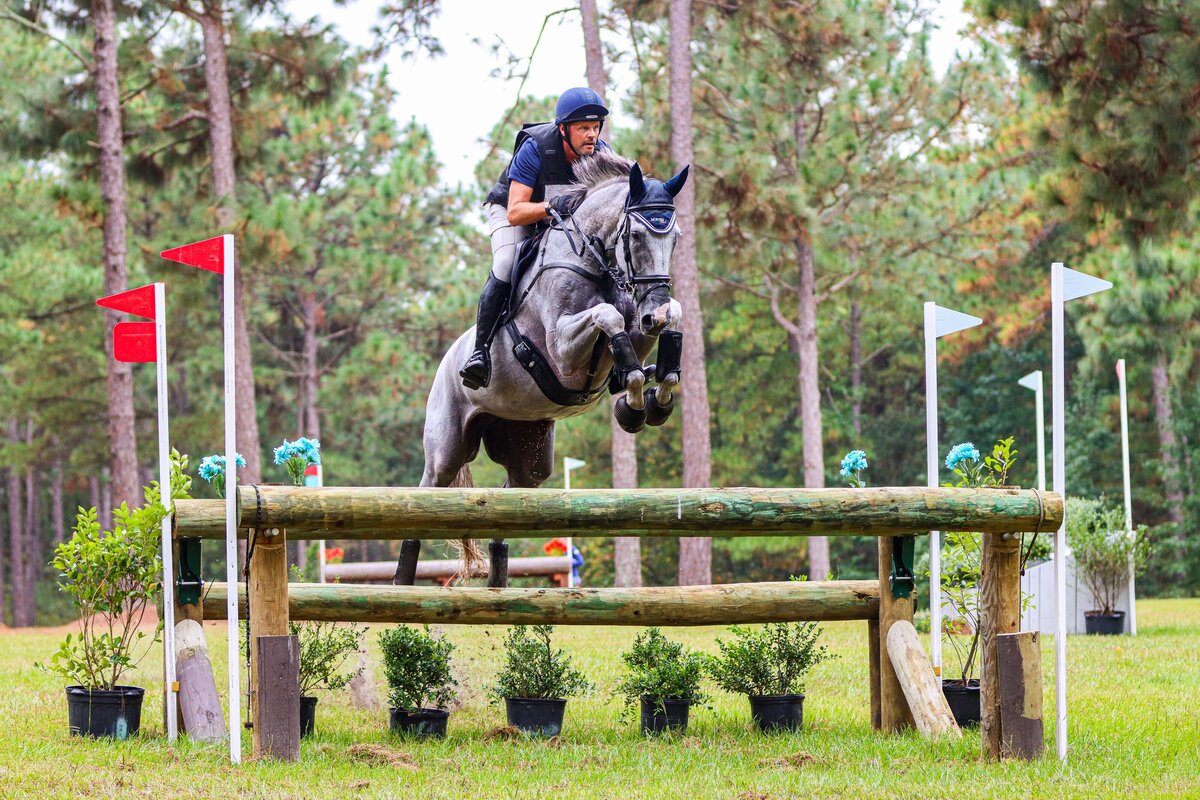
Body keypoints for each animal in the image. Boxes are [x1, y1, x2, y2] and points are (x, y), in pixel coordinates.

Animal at [394, 150, 690, 586]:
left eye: (676, 238)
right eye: (636, 237)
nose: (655, 313)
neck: (593, 259)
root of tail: (445, 361)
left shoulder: (639, 324)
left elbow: (666, 321)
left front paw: (650, 401)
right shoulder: (562, 352)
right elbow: (607, 319)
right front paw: (635, 405)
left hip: (527, 450)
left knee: (510, 495)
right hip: (446, 449)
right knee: (426, 493)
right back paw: (402, 582)